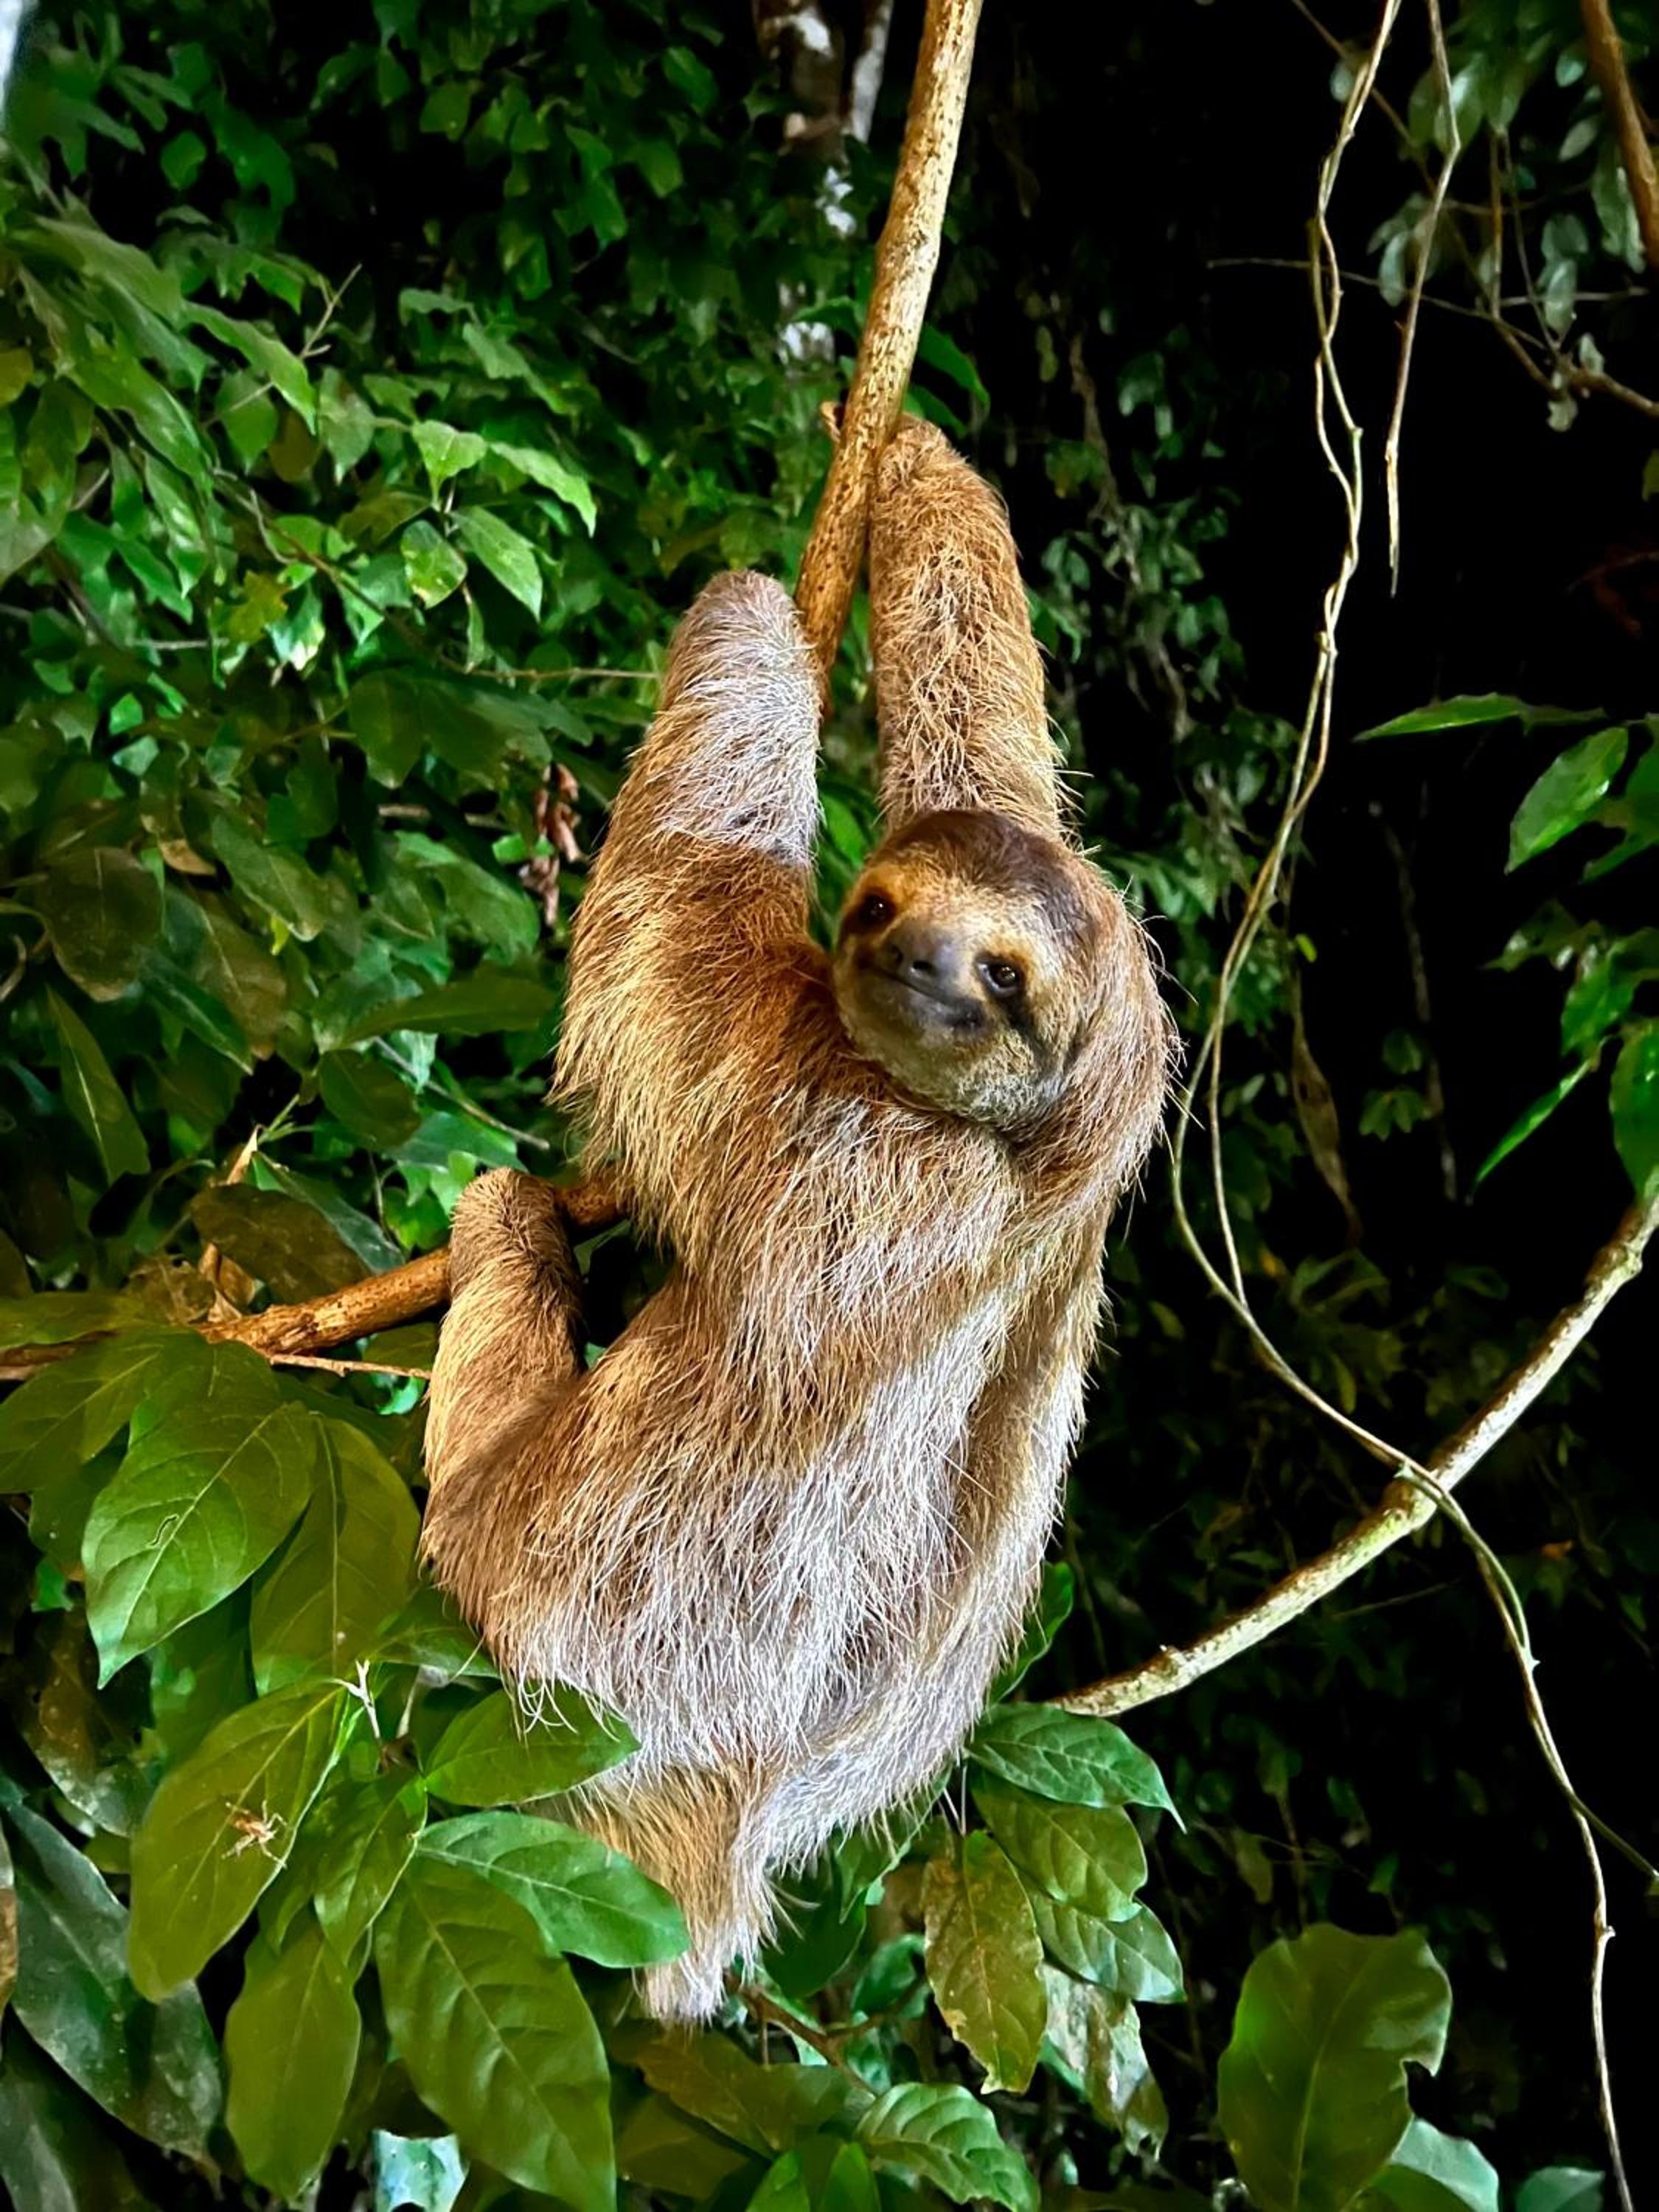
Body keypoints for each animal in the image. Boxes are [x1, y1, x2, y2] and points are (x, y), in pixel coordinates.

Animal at [421, 417, 1175, 2020]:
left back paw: (505, 1227)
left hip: (528, 1599)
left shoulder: (835, 1142)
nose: (914, 955)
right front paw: (912, 459)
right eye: (883, 900)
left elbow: (676, 932)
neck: (1031, 1146)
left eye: (1005, 974)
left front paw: (761, 609)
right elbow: (985, 729)